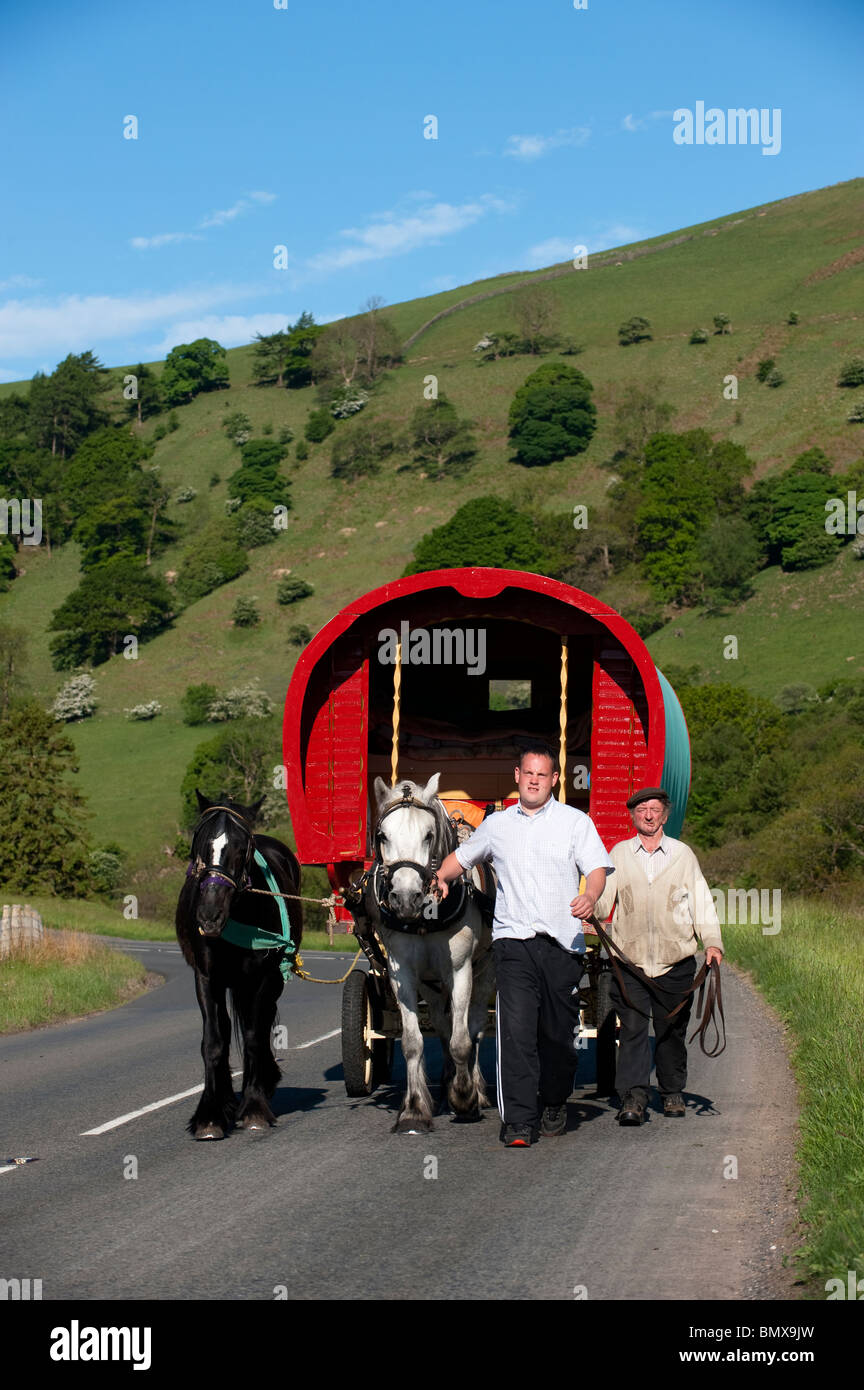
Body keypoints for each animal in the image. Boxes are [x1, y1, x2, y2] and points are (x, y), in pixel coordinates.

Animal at [176, 795, 304, 1139]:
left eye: (241, 846)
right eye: (199, 843)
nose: (208, 914)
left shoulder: (263, 977)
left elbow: (253, 1036)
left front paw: (255, 1107)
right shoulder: (206, 978)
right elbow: (213, 1042)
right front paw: (209, 1115)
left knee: (260, 1023)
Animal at [369, 778, 497, 1134]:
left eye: (428, 835)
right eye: (383, 835)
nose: (405, 898)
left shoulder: (460, 968)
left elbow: (462, 1039)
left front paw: (465, 1097)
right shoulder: (402, 971)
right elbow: (414, 1041)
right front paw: (414, 1110)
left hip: (485, 970)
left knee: (475, 1025)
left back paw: (474, 1088)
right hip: (431, 981)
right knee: (442, 1023)